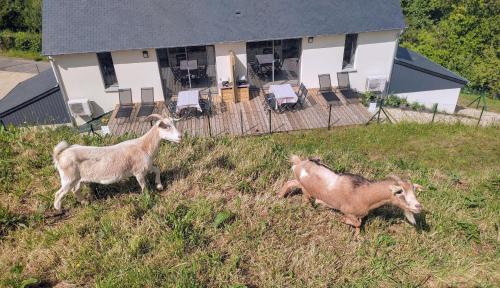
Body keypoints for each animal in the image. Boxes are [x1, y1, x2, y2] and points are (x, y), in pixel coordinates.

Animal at [52, 113, 182, 210]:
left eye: (174, 124)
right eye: (166, 126)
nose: (180, 136)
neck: (144, 146)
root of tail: (60, 155)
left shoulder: (147, 166)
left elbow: (157, 169)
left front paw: (159, 186)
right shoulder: (139, 172)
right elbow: (144, 186)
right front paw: (148, 198)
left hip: (79, 178)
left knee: (75, 190)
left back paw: (85, 202)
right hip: (68, 178)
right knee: (59, 194)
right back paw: (59, 209)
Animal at [280, 155, 424, 236]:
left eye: (414, 190)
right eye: (400, 192)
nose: (418, 206)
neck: (363, 193)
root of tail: (299, 163)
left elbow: (359, 224)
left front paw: (357, 237)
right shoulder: (347, 210)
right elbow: (357, 223)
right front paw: (343, 220)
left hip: (301, 184)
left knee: (289, 183)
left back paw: (279, 197)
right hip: (305, 189)